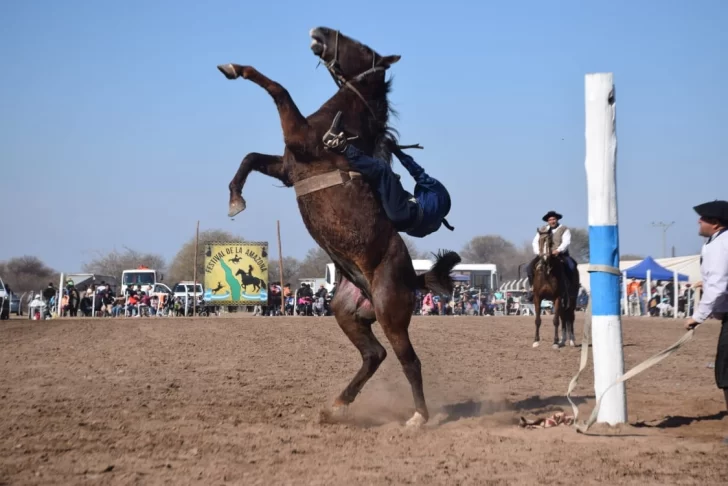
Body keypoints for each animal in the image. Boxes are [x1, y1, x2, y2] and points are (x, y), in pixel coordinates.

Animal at [213, 28, 460, 428]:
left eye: (362, 47)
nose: (320, 31)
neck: (345, 124)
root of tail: (413, 278)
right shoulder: (287, 165)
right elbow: (250, 157)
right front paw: (236, 199)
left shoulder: (299, 138)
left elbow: (278, 89)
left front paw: (235, 68)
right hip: (347, 312)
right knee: (375, 355)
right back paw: (336, 406)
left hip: (391, 313)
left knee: (409, 360)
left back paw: (418, 417)